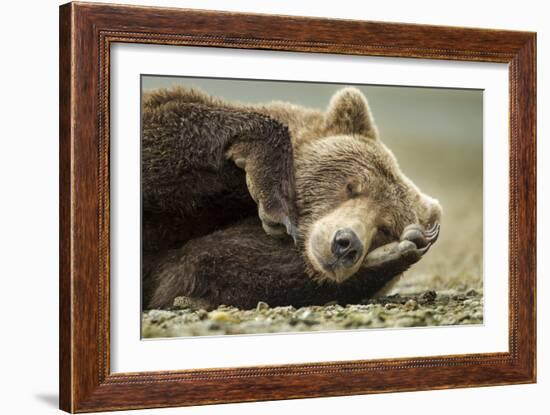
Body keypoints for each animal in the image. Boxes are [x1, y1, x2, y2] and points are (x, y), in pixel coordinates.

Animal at [141, 86, 444, 310]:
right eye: (351, 186)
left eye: (385, 228)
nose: (346, 243)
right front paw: (274, 199)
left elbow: (196, 269)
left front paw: (395, 253)